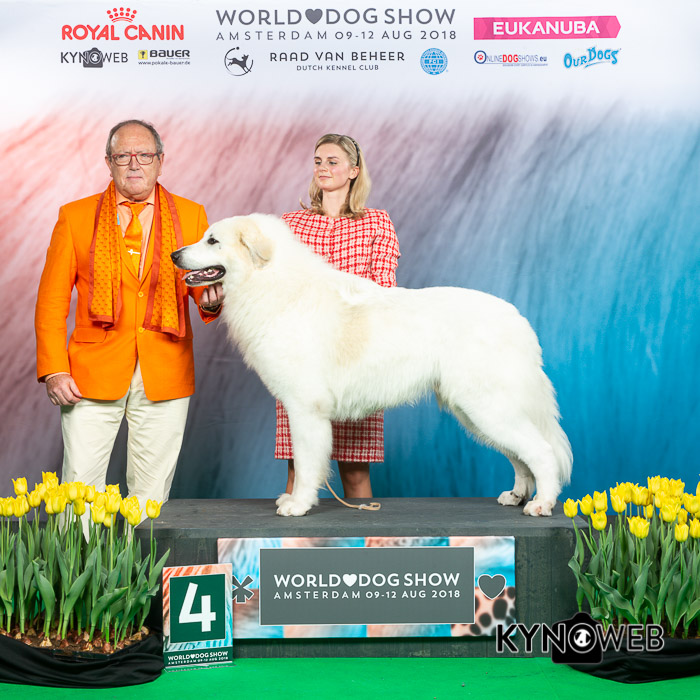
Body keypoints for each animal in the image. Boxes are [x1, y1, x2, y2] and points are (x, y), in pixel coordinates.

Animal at [171, 214, 572, 517]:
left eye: (212, 241)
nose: (175, 254)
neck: (273, 284)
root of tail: (519, 320)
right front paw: (295, 499)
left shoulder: (305, 409)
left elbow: (306, 462)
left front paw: (298, 504)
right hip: (478, 411)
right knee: (520, 457)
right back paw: (517, 495)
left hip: (487, 407)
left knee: (541, 452)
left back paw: (541, 504)